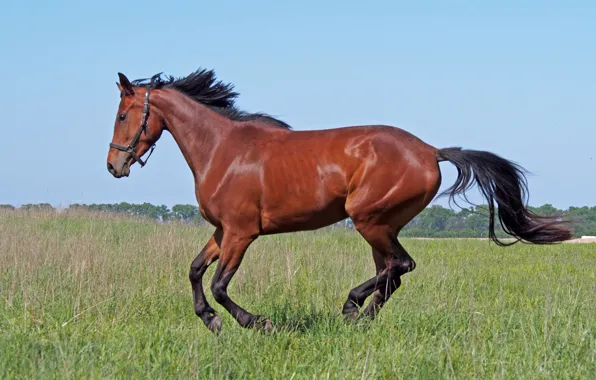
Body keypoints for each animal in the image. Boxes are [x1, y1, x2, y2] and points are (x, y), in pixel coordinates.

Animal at [107, 67, 572, 332]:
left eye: (122, 115)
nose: (114, 166)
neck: (222, 150)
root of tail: (430, 151)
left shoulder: (241, 233)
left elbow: (220, 285)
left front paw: (256, 323)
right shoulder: (223, 231)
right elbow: (194, 271)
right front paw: (210, 321)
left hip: (369, 219)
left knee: (400, 266)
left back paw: (351, 307)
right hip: (381, 226)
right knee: (392, 273)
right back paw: (361, 318)